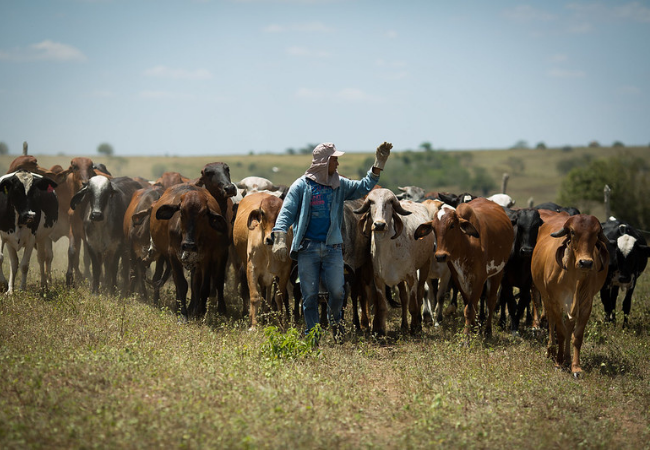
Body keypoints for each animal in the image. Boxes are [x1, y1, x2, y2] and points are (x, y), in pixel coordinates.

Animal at [149, 184, 230, 320]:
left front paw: (200, 313)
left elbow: (203, 288)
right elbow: (182, 284)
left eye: (204, 214)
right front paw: (183, 315)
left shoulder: (206, 258)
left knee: (202, 284)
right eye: (181, 211)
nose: (189, 245)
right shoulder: (173, 255)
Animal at [232, 192, 292, 328]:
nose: (270, 238)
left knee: (268, 294)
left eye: (281, 213)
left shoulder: (284, 271)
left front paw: (282, 325)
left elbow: (279, 297)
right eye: (263, 213)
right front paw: (254, 326)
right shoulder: (252, 268)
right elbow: (255, 296)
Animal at [352, 188, 432, 336]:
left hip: (425, 265)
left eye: (390, 202)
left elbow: (413, 305)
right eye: (371, 202)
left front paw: (415, 328)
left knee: (419, 294)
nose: (379, 225)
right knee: (404, 298)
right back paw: (404, 325)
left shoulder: (411, 277)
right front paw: (380, 331)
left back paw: (418, 323)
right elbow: (383, 306)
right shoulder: (378, 280)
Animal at [416, 198, 512, 338]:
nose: (440, 256)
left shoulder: (479, 278)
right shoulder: (458, 278)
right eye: (433, 227)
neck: (467, 245)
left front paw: (467, 336)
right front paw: (473, 329)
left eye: (452, 225)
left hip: (498, 272)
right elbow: (469, 305)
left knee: (491, 300)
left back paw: (488, 331)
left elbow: (471, 308)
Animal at [532, 211, 608, 376]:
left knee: (569, 324)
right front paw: (558, 362)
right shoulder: (555, 301)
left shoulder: (586, 304)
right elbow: (560, 331)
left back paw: (567, 358)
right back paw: (552, 351)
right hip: (546, 296)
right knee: (551, 321)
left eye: (596, 234)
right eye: (573, 232)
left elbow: (576, 335)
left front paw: (576, 367)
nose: (585, 263)